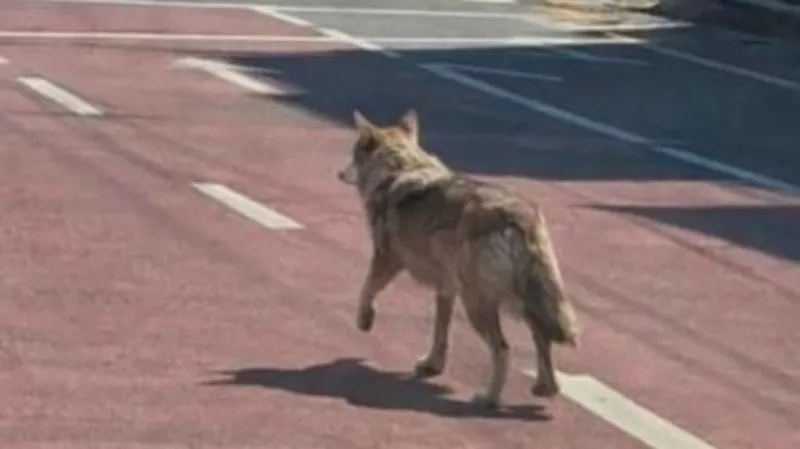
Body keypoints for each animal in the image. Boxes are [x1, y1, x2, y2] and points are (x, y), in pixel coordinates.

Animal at [337, 108, 580, 408]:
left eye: (354, 154)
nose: (338, 173)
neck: (400, 168)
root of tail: (518, 217)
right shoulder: (446, 288)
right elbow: (441, 332)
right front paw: (433, 365)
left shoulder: (387, 260)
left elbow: (366, 290)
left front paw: (365, 320)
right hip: (518, 301)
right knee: (542, 337)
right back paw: (546, 388)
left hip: (478, 303)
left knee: (503, 350)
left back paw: (489, 397)